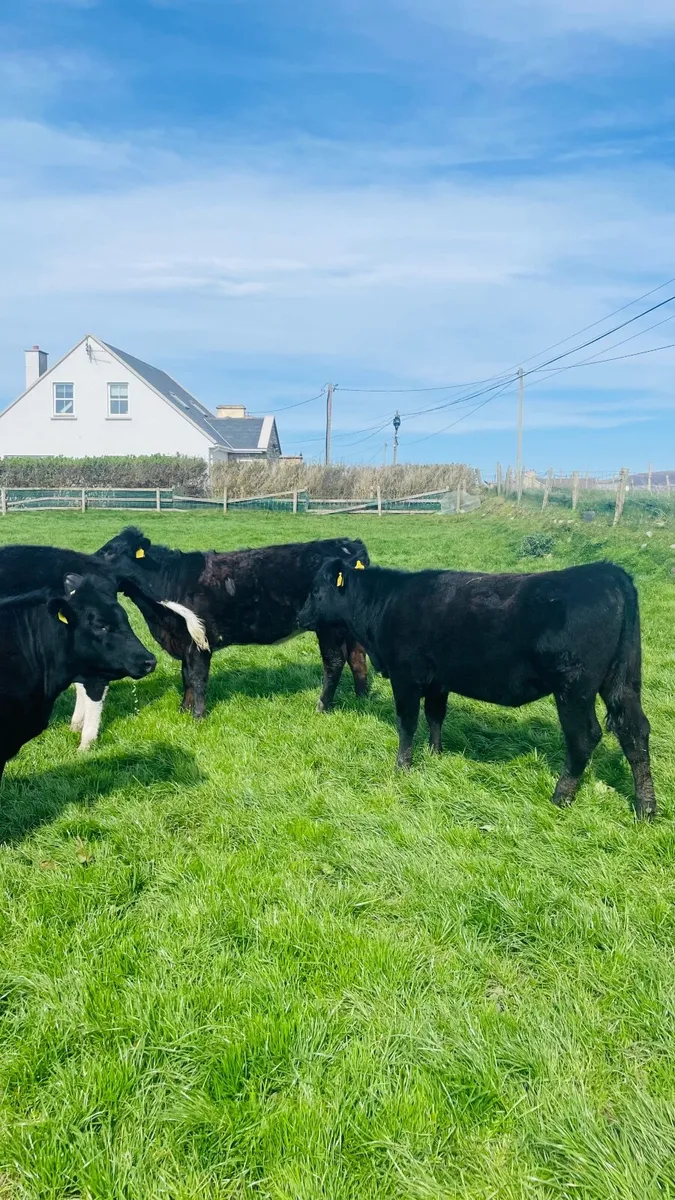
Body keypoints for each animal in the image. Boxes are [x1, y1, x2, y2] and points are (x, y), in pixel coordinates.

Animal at [77, 527, 371, 739]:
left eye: (110, 553)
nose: (83, 564)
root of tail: (349, 544)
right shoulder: (185, 641)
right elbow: (186, 676)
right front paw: (183, 710)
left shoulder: (200, 640)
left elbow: (197, 678)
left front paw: (198, 717)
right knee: (357, 658)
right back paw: (362, 698)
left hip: (329, 628)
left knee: (335, 662)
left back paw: (322, 706)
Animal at [297, 559, 656, 818]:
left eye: (315, 590)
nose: (300, 617)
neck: (383, 605)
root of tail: (606, 571)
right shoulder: (438, 680)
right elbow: (435, 716)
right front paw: (436, 753)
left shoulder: (405, 677)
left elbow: (407, 723)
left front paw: (402, 767)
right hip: (622, 681)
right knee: (634, 731)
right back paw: (646, 807)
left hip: (573, 688)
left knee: (584, 737)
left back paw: (561, 796)